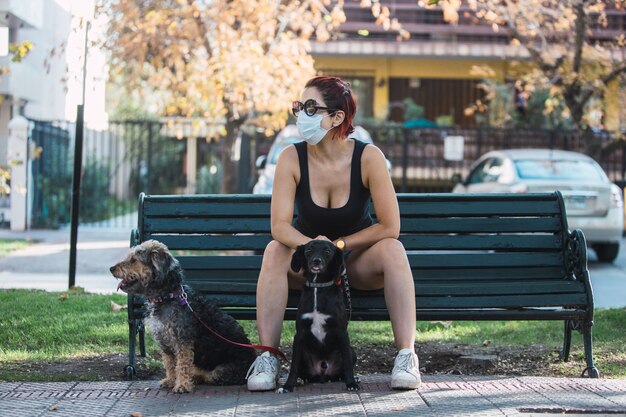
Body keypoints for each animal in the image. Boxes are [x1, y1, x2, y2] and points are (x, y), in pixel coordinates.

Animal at [109, 239, 254, 392]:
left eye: (134, 260)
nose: (111, 268)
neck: (166, 297)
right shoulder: (164, 341)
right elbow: (170, 364)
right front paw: (170, 380)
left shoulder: (183, 340)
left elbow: (182, 364)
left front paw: (182, 385)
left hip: (221, 371)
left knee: (208, 376)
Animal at [278, 239, 356, 392]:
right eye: (309, 250)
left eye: (327, 251)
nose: (316, 261)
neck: (318, 287)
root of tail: (322, 375)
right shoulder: (299, 334)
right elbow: (293, 366)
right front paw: (288, 386)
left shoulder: (342, 333)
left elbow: (348, 364)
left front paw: (351, 384)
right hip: (302, 351)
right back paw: (301, 380)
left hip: (352, 351)